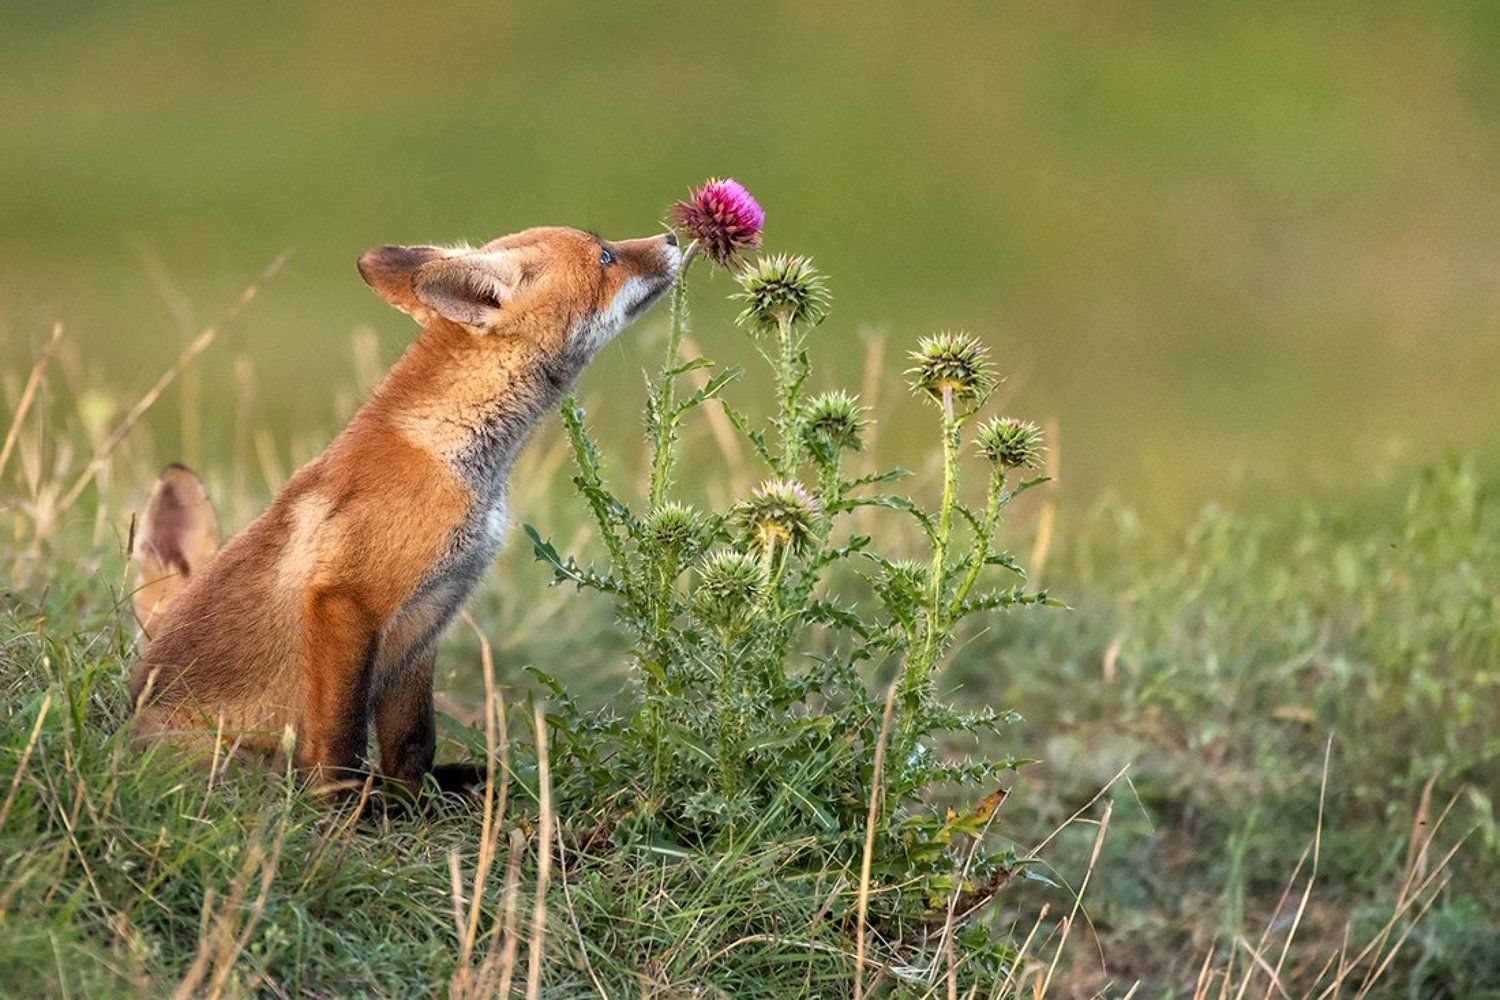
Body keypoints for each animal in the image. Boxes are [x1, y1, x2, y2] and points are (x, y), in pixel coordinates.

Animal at [129, 225, 680, 794]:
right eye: (606, 256)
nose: (671, 236)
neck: (456, 456)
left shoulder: (425, 620)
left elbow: (413, 741)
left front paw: (413, 800)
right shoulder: (345, 601)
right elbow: (340, 741)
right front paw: (344, 805)